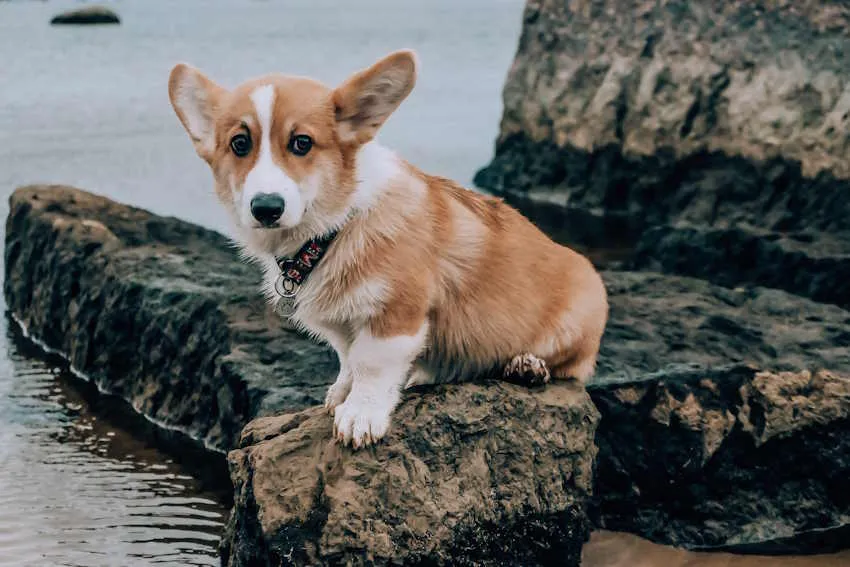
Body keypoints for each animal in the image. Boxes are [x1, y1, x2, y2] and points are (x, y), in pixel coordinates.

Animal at [166, 50, 608, 448]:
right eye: (240, 144)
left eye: (302, 143)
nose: (266, 208)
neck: (333, 229)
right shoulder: (344, 325)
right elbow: (349, 357)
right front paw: (342, 392)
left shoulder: (397, 315)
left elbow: (372, 365)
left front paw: (360, 415)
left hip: (578, 315)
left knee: (572, 366)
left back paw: (526, 365)